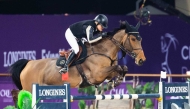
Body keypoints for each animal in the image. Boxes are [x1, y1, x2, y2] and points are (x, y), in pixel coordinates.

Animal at [8, 20, 146, 93]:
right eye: (133, 39)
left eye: (141, 39)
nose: (141, 60)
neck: (103, 51)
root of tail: (28, 63)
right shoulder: (97, 75)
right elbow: (118, 67)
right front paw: (114, 83)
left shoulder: (106, 73)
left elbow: (122, 68)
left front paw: (115, 82)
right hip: (29, 89)